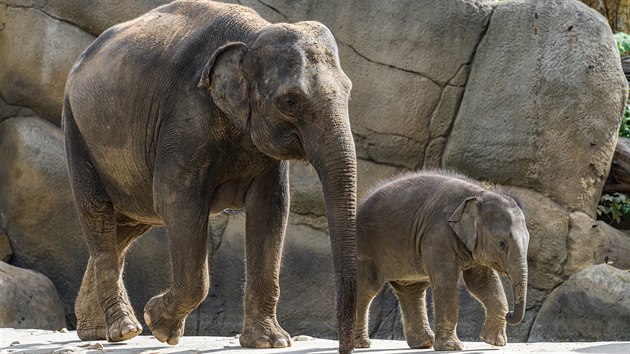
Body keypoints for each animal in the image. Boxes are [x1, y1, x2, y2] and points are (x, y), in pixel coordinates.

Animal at [63, 1, 360, 352]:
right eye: (290, 101)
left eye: (349, 91)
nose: (347, 345)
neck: (255, 33)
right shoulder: (186, 116)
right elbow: (178, 201)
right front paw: (159, 324)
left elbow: (271, 208)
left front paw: (269, 342)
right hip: (76, 130)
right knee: (99, 216)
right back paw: (125, 330)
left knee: (126, 227)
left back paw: (96, 331)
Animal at [356, 170, 528, 350]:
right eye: (502, 244)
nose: (510, 314)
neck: (480, 192)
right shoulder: (438, 234)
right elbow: (446, 282)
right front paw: (452, 347)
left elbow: (481, 282)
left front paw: (494, 342)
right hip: (366, 248)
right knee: (367, 288)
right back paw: (362, 343)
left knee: (411, 290)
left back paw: (424, 343)